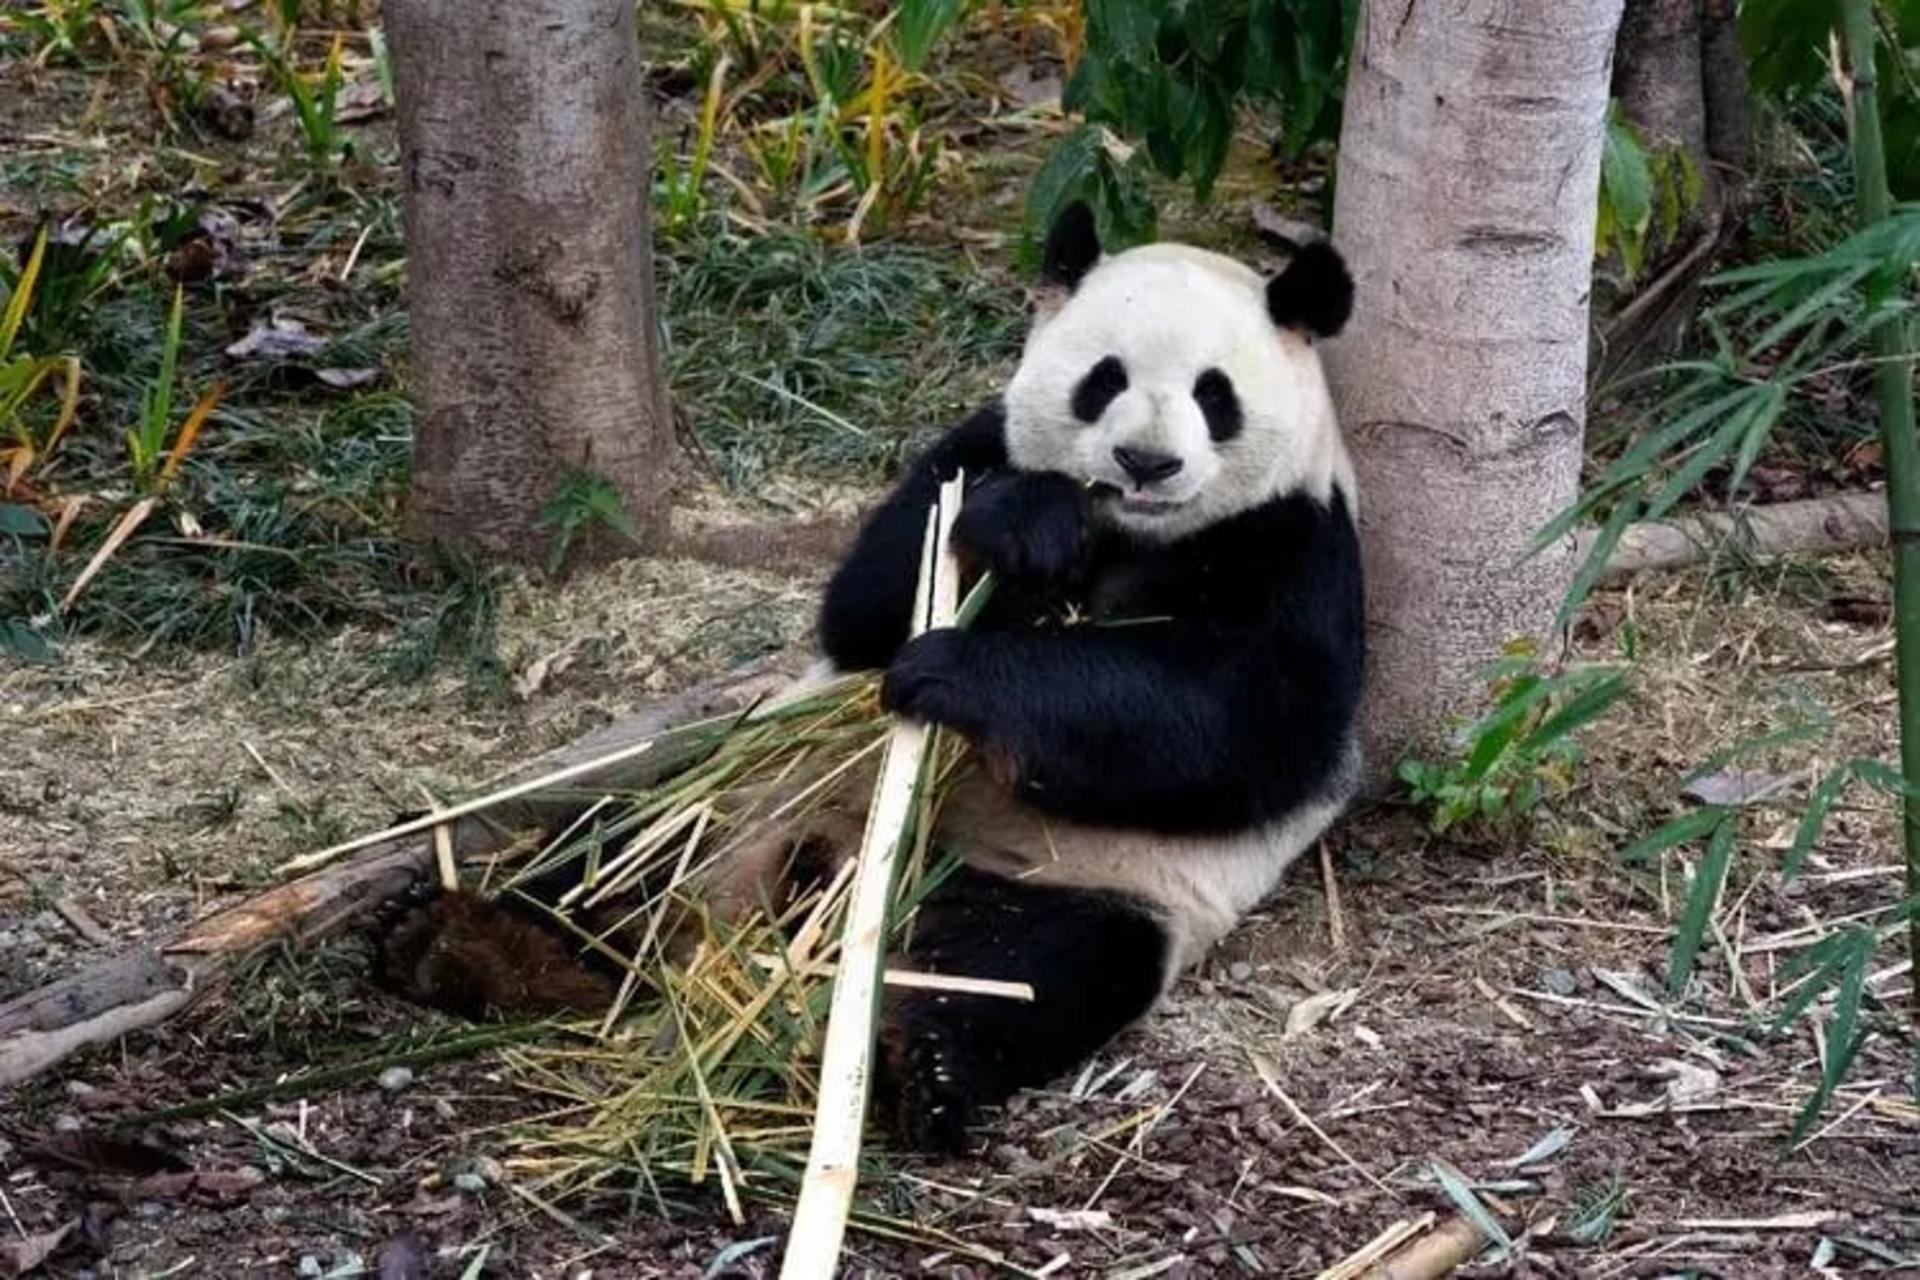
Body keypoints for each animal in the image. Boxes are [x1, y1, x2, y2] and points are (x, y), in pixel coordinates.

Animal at [374, 201, 1365, 1152]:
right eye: (1104, 380)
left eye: (1214, 394)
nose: (1146, 463)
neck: (1131, 535)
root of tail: (780, 892)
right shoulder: (977, 444)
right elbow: (869, 595)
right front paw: (1022, 528)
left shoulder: (1297, 544)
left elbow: (1246, 730)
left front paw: (959, 674)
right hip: (739, 786)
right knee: (615, 848)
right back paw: (474, 942)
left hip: (1069, 883)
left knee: (1019, 972)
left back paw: (914, 1064)